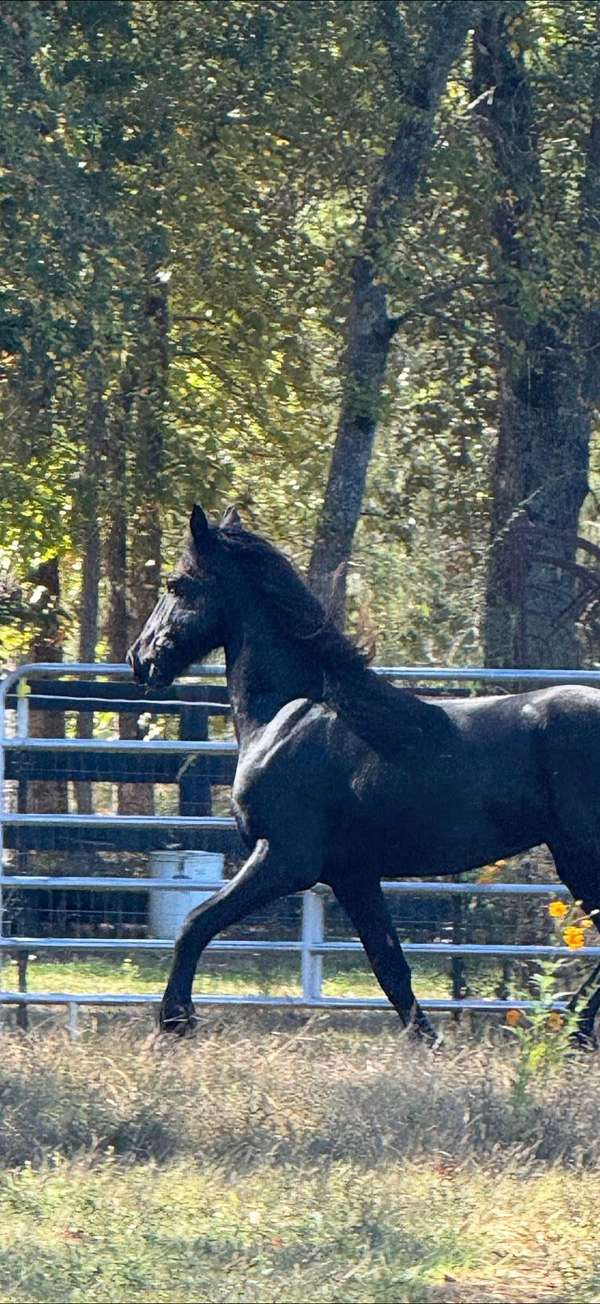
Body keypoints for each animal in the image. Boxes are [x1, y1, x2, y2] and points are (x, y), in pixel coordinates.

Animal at [128, 504, 600, 1043]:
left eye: (176, 584)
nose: (140, 659)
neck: (284, 719)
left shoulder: (285, 858)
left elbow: (196, 923)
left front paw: (174, 1021)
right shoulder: (353, 874)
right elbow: (390, 965)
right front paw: (427, 1043)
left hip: (583, 856)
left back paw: (573, 1031)